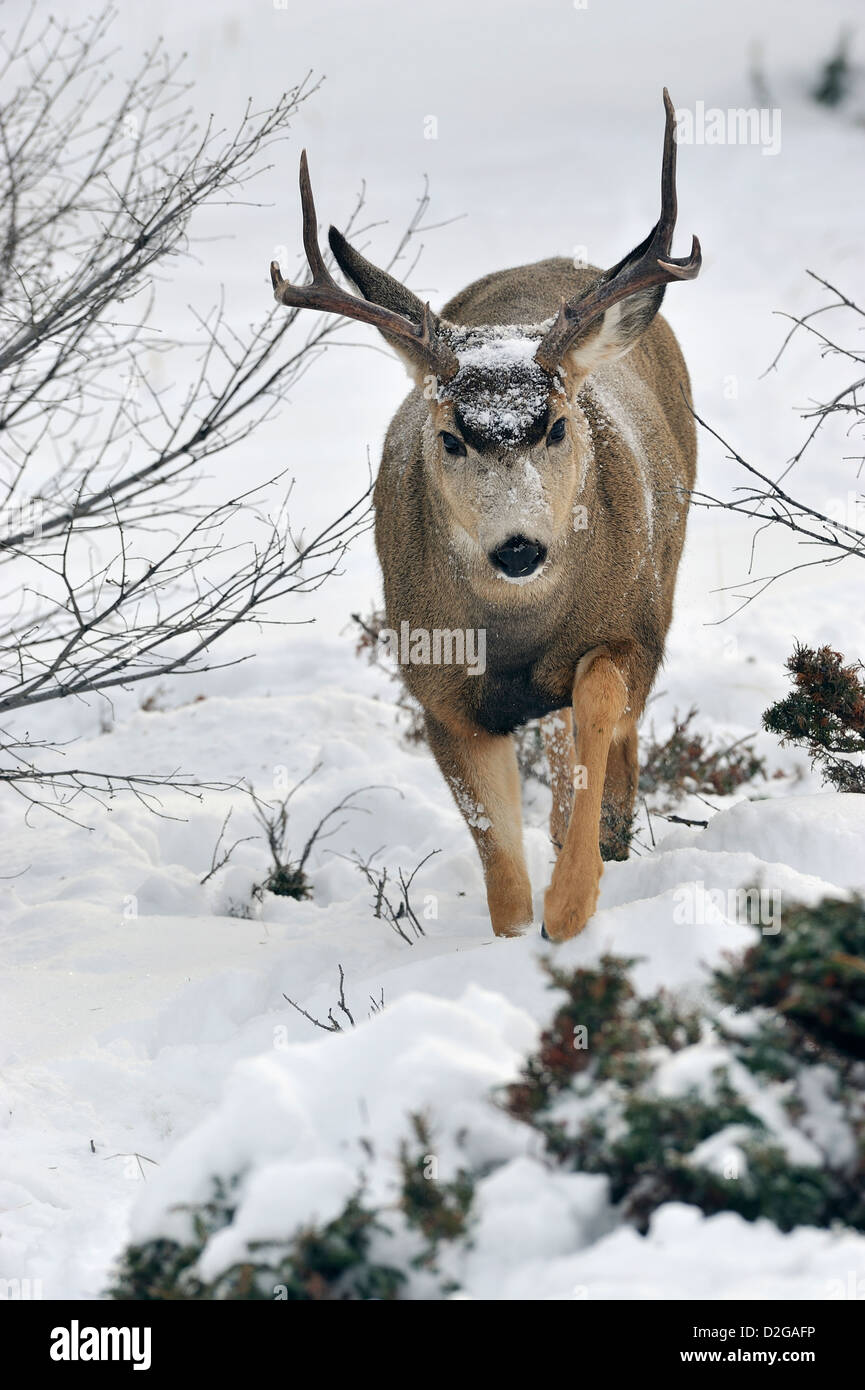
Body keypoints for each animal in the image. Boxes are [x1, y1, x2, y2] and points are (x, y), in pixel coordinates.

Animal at [270, 90, 701, 943]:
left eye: (557, 426)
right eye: (449, 438)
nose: (518, 548)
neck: (517, 635)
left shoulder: (633, 627)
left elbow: (595, 710)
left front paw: (571, 909)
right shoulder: (435, 685)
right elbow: (499, 864)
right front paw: (518, 934)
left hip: (665, 570)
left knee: (609, 738)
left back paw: (611, 833)